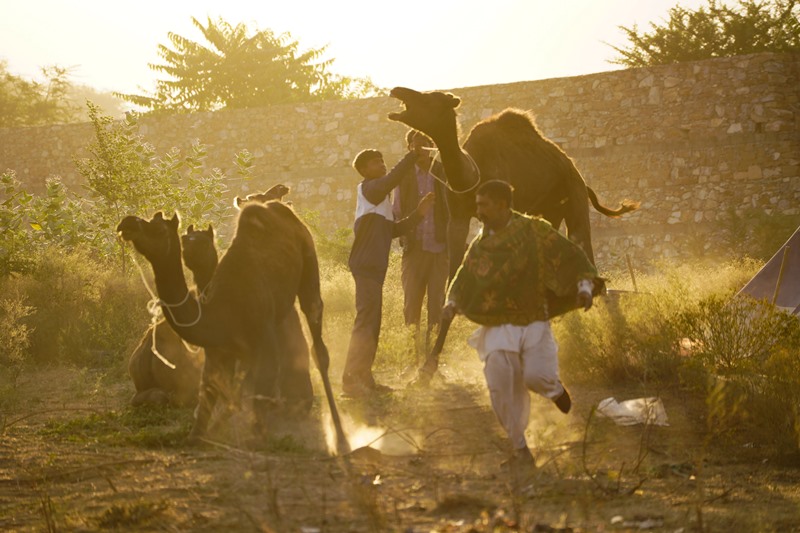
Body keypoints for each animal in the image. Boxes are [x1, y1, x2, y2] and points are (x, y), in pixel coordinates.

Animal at [117, 205, 347, 450]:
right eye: (184, 239)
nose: (127, 222)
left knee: (316, 335)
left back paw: (340, 436)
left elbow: (261, 384)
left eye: (159, 229)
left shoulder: (263, 338)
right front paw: (200, 434)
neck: (222, 312)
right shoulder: (217, 351)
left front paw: (256, 437)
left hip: (308, 259)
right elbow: (212, 390)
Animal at [388, 87, 639, 273]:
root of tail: (581, 179)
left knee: (581, 241)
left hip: (574, 198)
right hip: (549, 211)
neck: (472, 177)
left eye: (429, 98)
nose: (397, 90)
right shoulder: (457, 217)